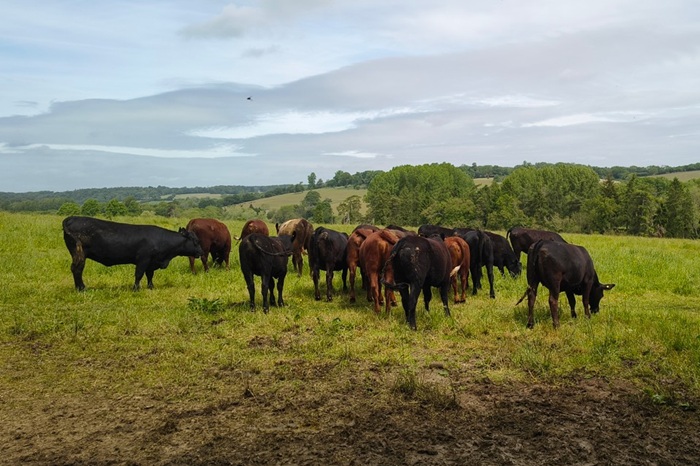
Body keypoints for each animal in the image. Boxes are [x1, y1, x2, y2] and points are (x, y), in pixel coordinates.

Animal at [62, 216, 203, 291]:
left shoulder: (151, 262)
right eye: (196, 241)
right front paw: (136, 288)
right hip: (79, 254)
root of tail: (71, 218)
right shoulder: (143, 259)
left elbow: (149, 275)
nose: (201, 252)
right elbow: (139, 274)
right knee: (77, 269)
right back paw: (81, 288)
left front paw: (151, 287)